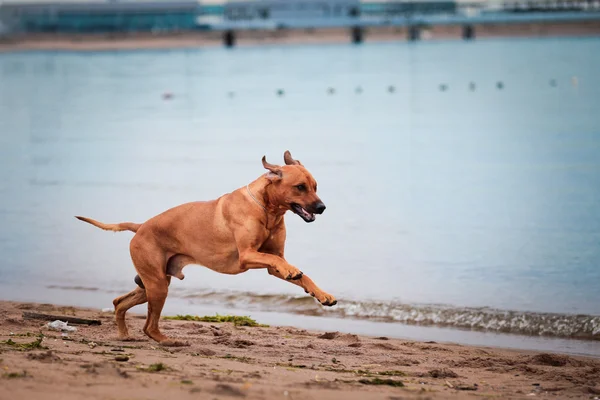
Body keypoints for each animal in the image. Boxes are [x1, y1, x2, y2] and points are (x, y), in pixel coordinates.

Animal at [75, 152, 336, 346]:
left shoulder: (272, 261)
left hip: (153, 283)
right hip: (157, 285)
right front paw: (294, 271)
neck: (268, 210)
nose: (322, 207)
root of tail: (140, 226)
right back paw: (168, 341)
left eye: (315, 186)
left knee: (119, 302)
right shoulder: (249, 256)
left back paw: (124, 335)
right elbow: (283, 264)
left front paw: (322, 294)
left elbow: (300, 274)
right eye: (300, 187)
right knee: (149, 325)